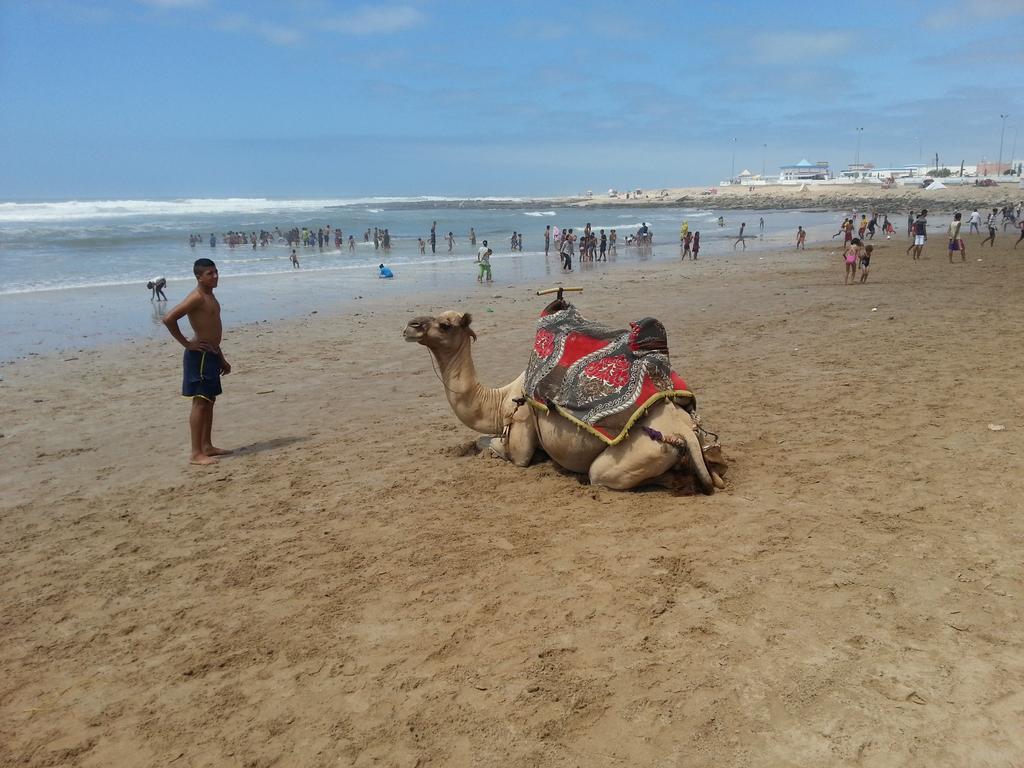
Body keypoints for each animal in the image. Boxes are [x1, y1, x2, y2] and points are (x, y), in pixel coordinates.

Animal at [403, 309, 724, 493]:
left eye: (445, 325)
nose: (410, 325)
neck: (500, 398)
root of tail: (684, 431)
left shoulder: (521, 427)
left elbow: (496, 446)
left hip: (634, 455)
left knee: (603, 475)